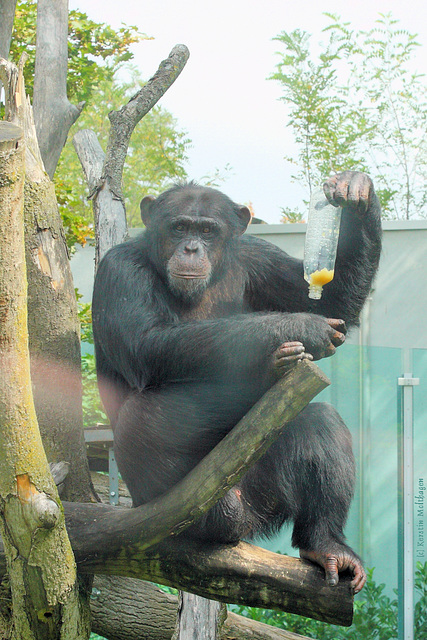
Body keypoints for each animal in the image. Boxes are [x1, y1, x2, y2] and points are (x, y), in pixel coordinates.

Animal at [92, 171, 382, 596]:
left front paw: (355, 191)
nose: (191, 247)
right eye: (179, 227)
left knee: (319, 420)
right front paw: (297, 330)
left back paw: (326, 544)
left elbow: (334, 303)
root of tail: (239, 514)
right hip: (154, 499)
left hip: (264, 497)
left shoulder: (259, 255)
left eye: (207, 230)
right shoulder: (119, 269)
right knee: (143, 416)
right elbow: (147, 343)